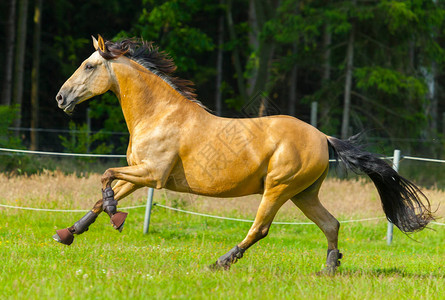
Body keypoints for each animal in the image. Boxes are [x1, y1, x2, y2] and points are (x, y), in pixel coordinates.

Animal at [53, 35, 432, 274]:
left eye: (89, 66)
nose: (60, 98)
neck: (159, 113)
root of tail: (323, 137)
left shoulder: (152, 174)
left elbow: (106, 179)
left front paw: (116, 217)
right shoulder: (139, 172)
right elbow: (102, 195)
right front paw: (68, 233)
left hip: (278, 189)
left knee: (260, 229)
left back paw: (221, 262)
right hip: (304, 194)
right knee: (331, 223)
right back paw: (329, 269)